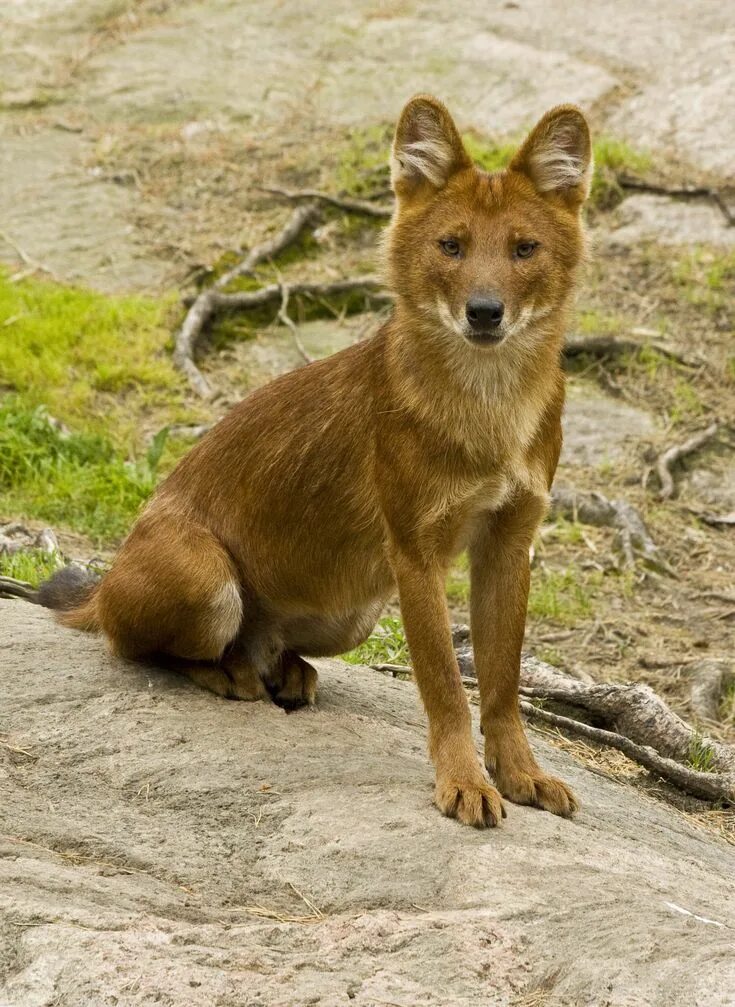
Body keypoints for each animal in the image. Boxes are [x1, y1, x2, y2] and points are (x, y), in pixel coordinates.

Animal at [30, 98, 588, 829]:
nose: (485, 311)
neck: (490, 408)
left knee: (271, 646)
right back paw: (227, 671)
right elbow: (445, 682)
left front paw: (522, 773)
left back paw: (284, 669)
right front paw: (464, 782)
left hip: (355, 613)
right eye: (452, 246)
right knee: (133, 643)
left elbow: (500, 682)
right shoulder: (414, 551)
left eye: (524, 249)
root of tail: (106, 581)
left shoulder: (509, 540)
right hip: (207, 580)